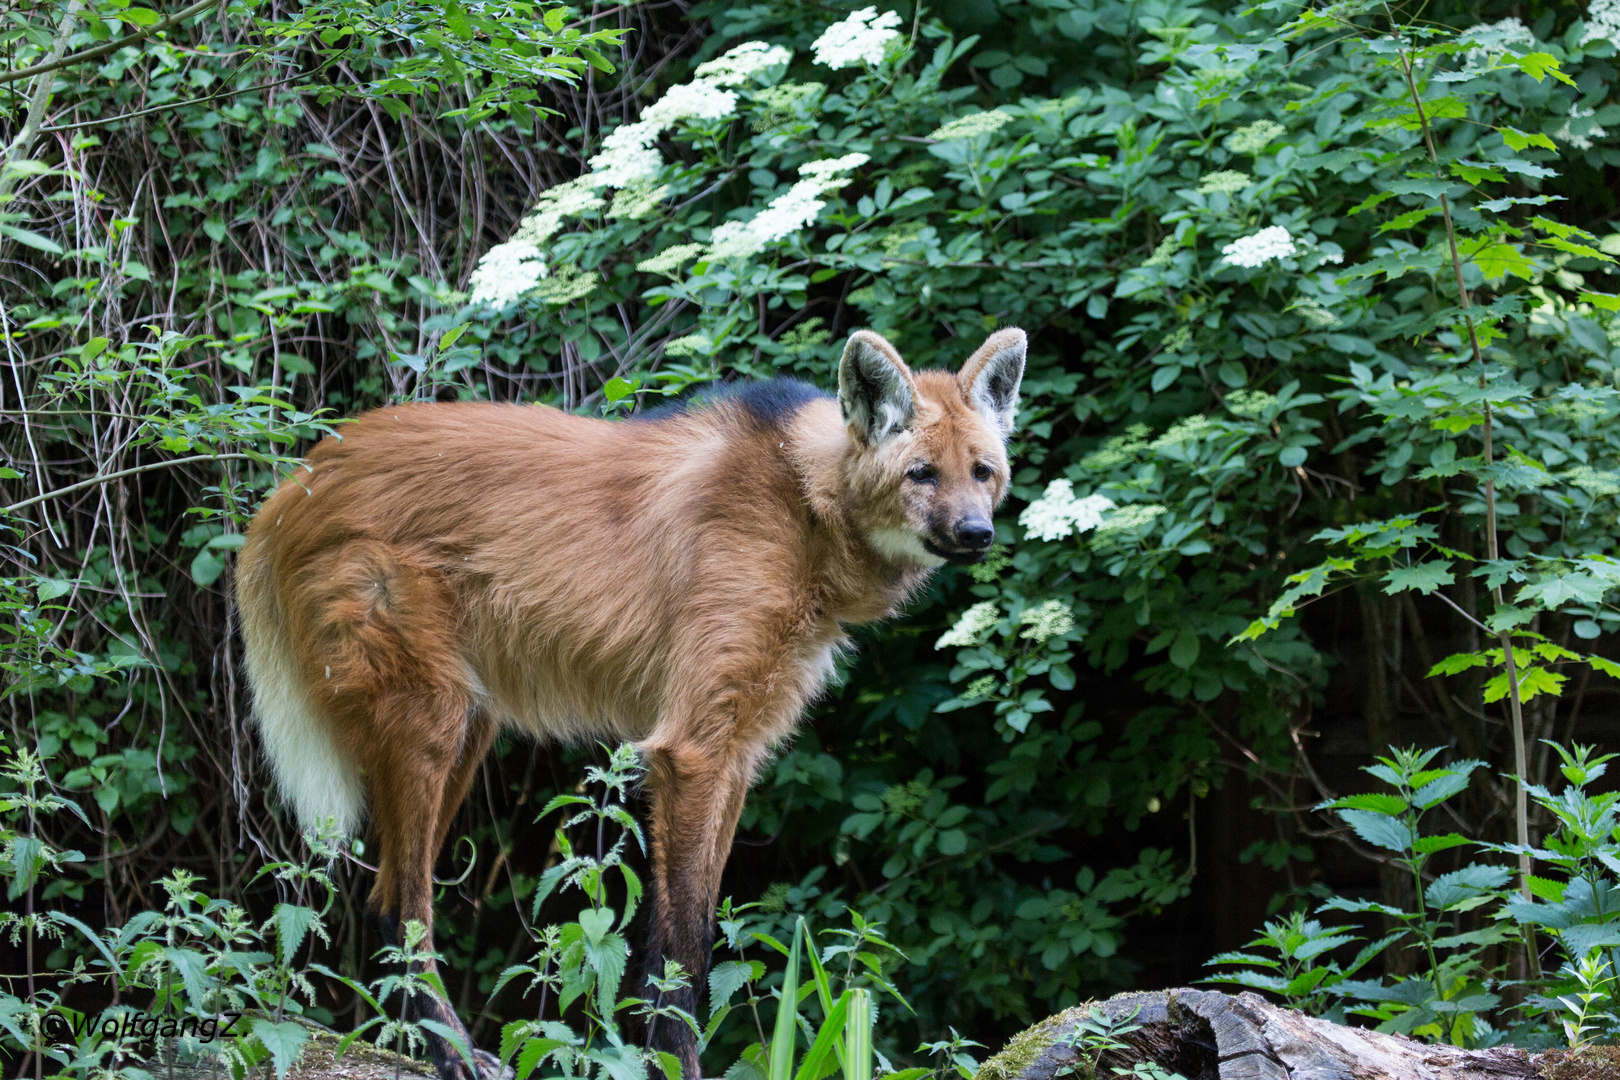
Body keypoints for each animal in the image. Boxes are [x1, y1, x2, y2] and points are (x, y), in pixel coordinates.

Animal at [233, 325, 1023, 1075]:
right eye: (922, 474)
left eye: (982, 472)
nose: (976, 533)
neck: (807, 505)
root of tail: (290, 489)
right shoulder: (693, 749)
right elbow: (685, 946)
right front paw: (676, 1062)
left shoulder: (736, 753)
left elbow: (679, 931)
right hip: (429, 719)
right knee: (402, 906)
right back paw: (452, 1055)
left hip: (467, 727)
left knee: (382, 897)